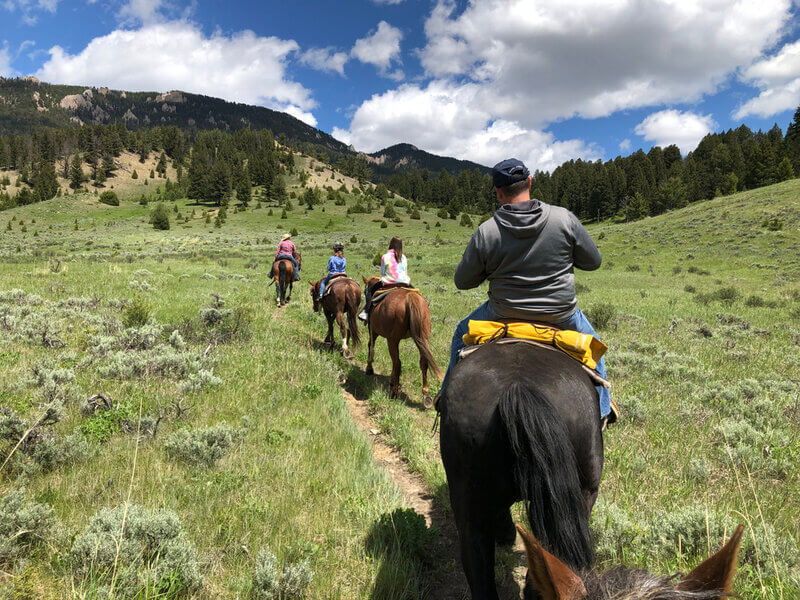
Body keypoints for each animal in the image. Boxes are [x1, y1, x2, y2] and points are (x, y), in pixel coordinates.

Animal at [362, 276, 444, 406]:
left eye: (365, 292)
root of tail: (410, 297)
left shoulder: (373, 330)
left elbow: (371, 346)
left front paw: (369, 368)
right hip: (423, 339)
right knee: (423, 362)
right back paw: (426, 395)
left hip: (392, 340)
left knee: (397, 362)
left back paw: (394, 393)